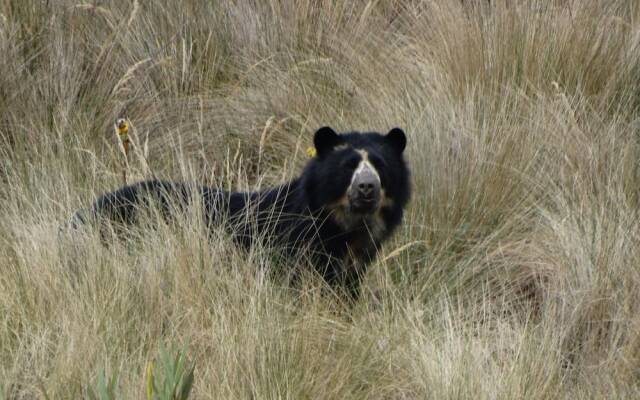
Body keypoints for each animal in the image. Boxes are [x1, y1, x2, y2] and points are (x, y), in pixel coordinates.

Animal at [70, 126, 410, 298]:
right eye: (347, 167)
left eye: (380, 166)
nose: (366, 188)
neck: (344, 226)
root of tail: (80, 216)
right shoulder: (297, 246)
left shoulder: (352, 263)